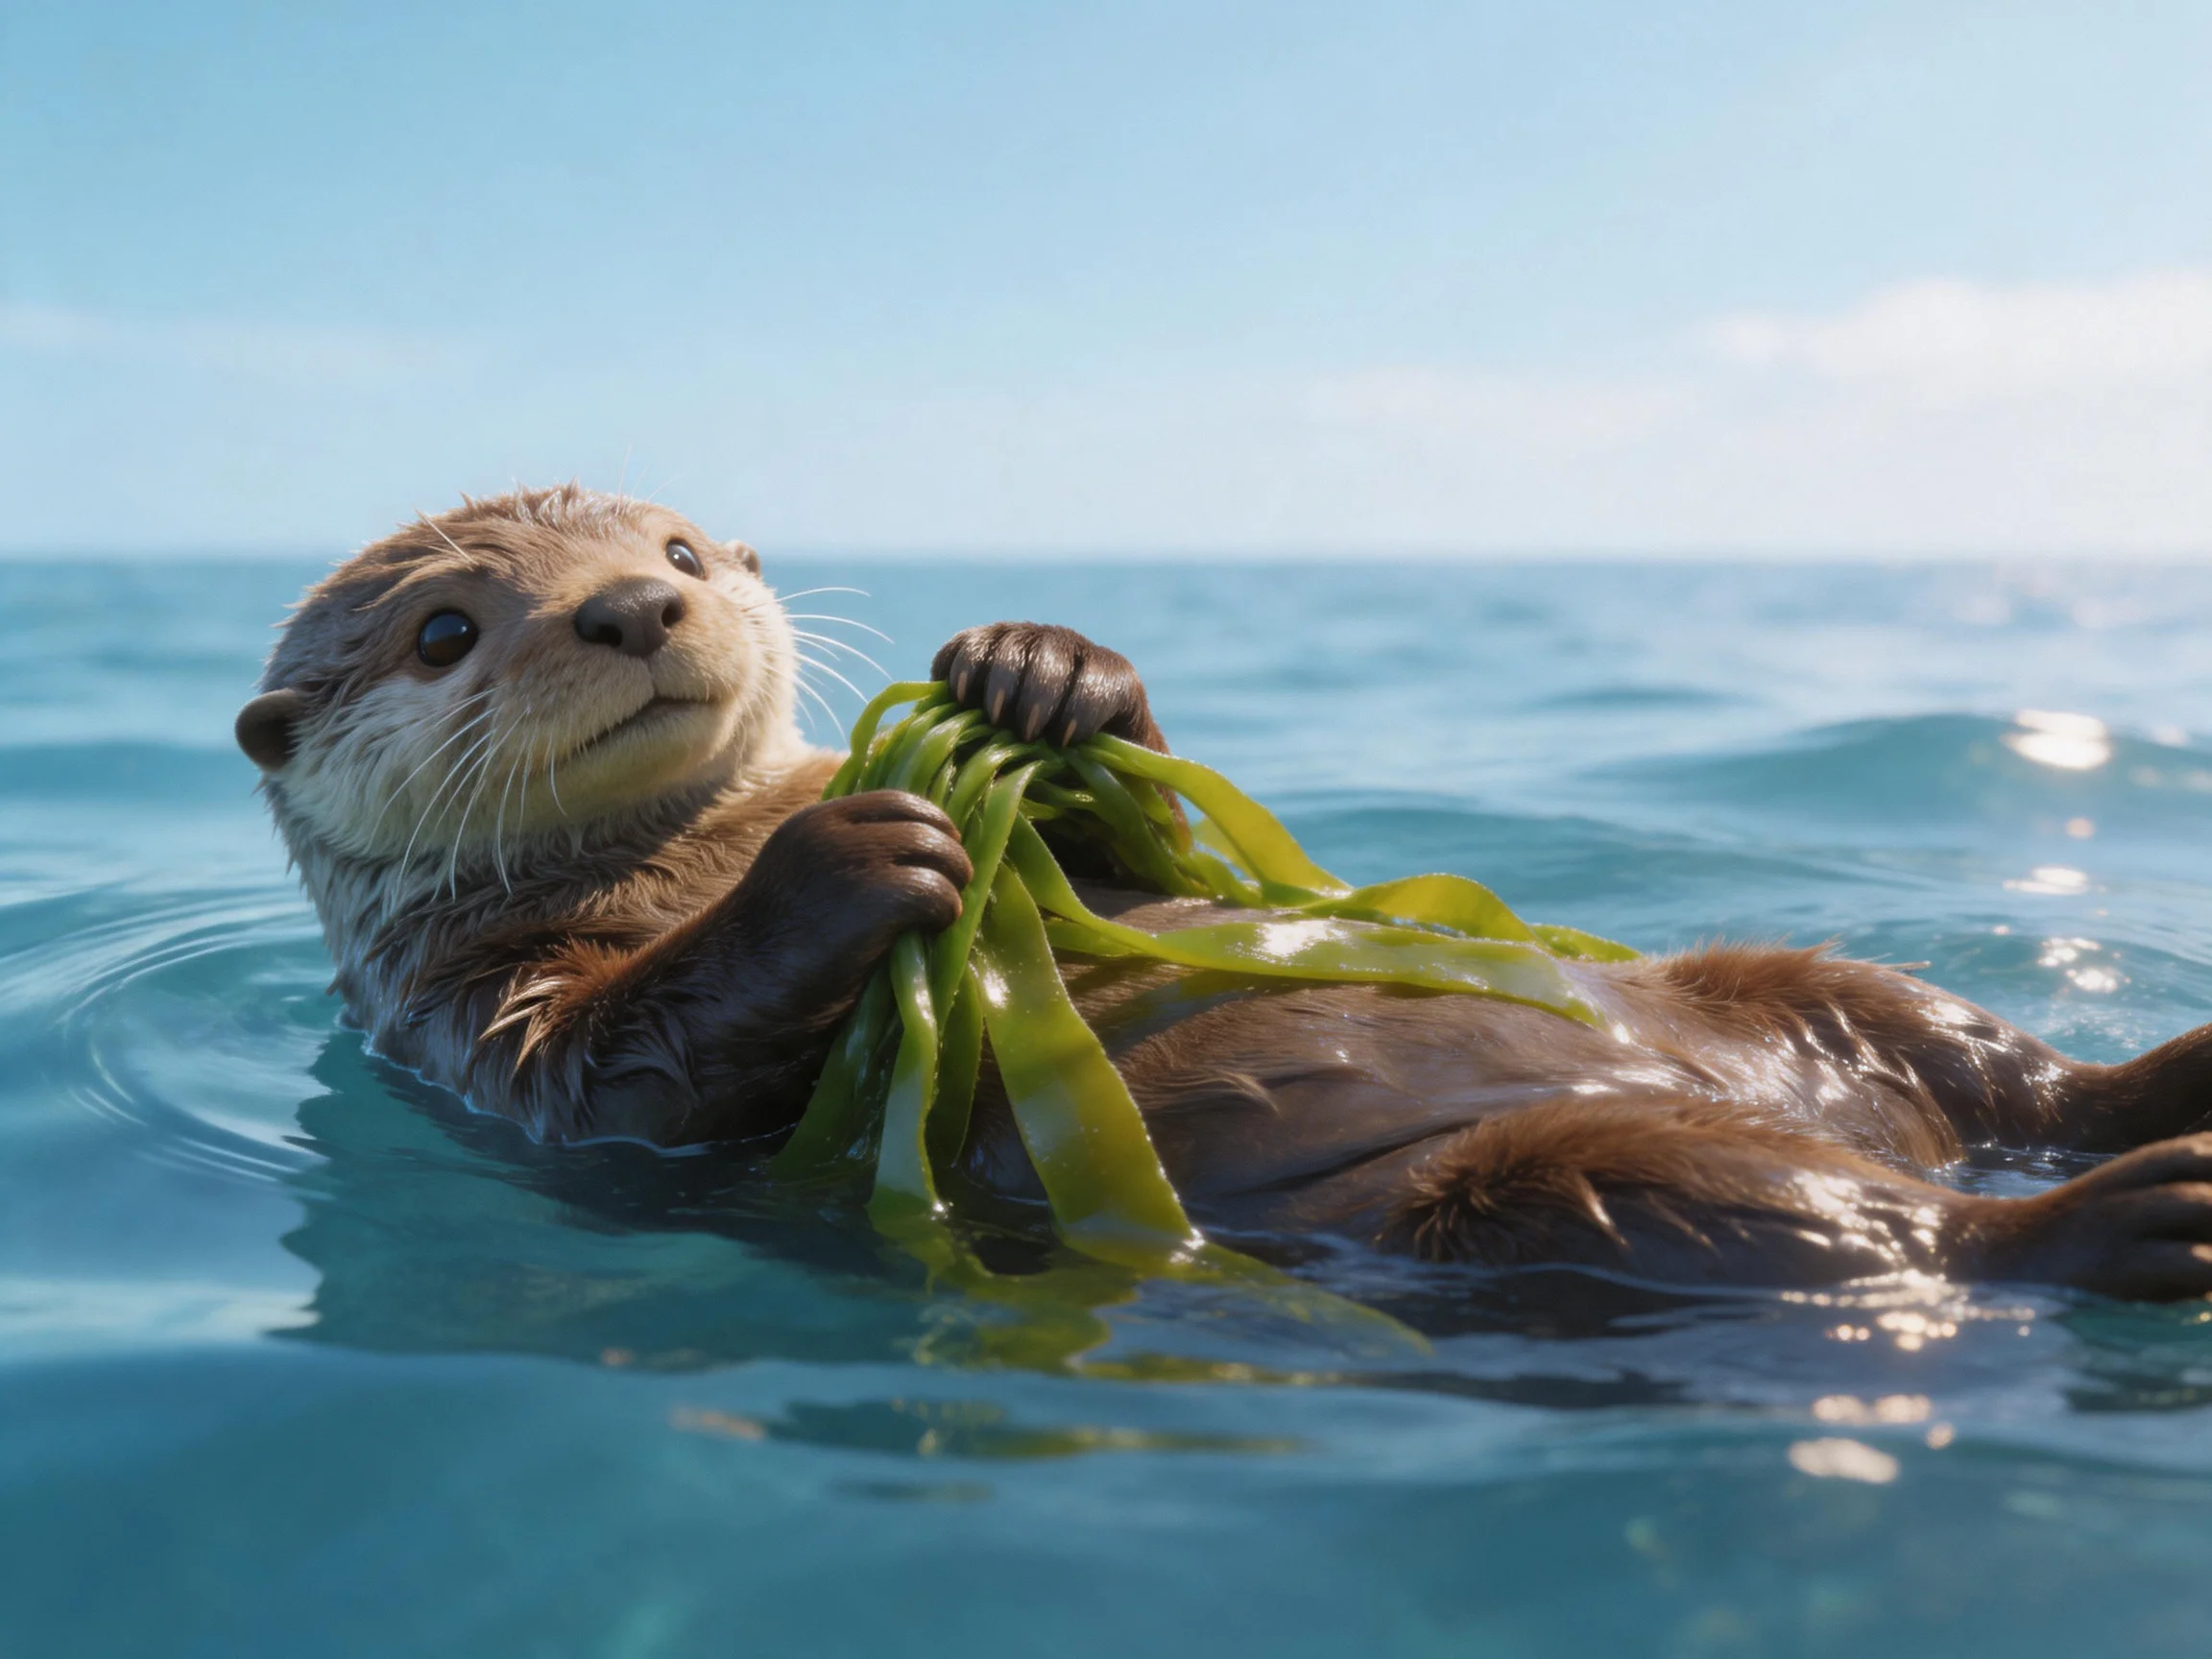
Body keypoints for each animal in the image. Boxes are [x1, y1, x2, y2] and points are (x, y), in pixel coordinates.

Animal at [238, 485, 2212, 1302]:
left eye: (671, 547)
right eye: (445, 629)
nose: (638, 605)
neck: (691, 844)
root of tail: (1858, 1122)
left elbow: (1119, 859)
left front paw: (1045, 673)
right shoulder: (464, 1016)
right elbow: (618, 1069)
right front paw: (854, 857)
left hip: (1791, 987)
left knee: (1987, 1062)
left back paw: (2159, 1086)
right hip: (1497, 1197)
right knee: (1810, 1224)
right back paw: (2127, 1216)